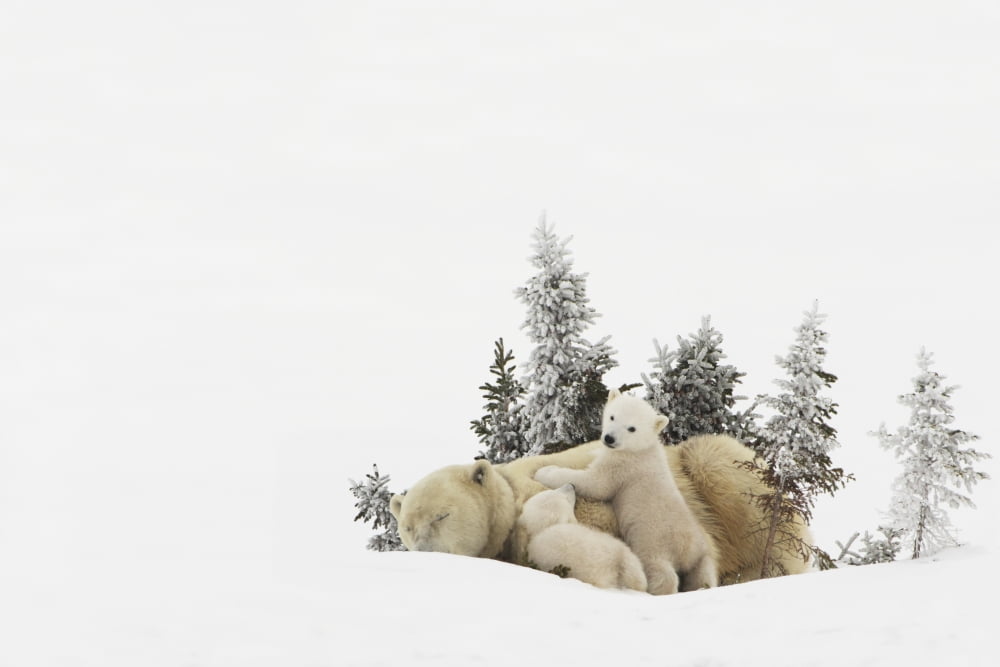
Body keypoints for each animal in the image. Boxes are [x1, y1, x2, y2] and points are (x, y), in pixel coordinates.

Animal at [534, 390, 718, 594]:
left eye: (632, 428)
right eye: (612, 416)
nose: (609, 438)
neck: (642, 448)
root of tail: (686, 550)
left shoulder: (624, 466)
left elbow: (596, 484)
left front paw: (545, 471)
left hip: (655, 545)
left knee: (660, 572)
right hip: (702, 551)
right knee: (704, 572)